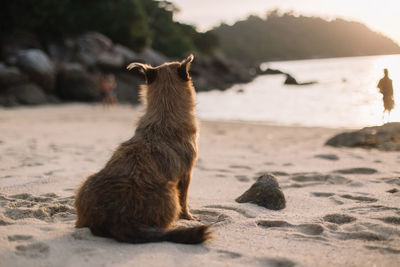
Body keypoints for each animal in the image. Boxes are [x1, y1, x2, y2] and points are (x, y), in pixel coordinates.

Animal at [76, 55, 212, 245]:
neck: (165, 111)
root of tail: (119, 220)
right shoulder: (186, 175)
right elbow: (184, 199)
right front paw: (188, 217)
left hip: (86, 183)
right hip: (170, 193)